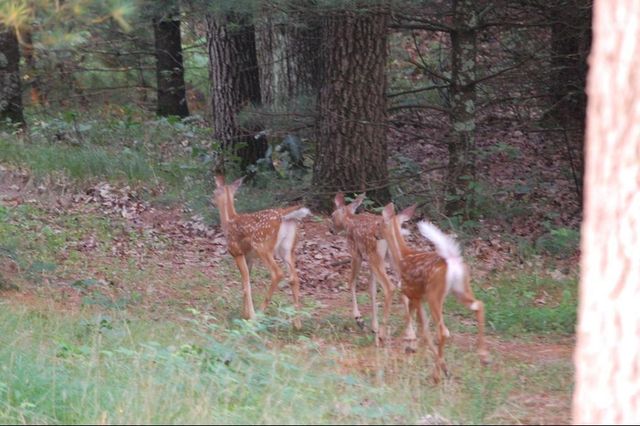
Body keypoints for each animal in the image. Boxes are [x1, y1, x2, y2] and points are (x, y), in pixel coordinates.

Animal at [213, 175, 310, 329]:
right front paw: (244, 314)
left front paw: (249, 316)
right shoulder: (249, 256)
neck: (229, 220)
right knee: (294, 278)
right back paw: (297, 324)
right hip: (288, 249)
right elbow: (245, 281)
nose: (211, 200)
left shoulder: (236, 252)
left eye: (214, 191)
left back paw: (258, 315)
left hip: (263, 246)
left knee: (277, 273)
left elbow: (246, 281)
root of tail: (284, 215)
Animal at [330, 192, 413, 347]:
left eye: (332, 215)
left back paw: (382, 336)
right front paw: (374, 326)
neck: (349, 221)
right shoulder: (369, 261)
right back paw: (410, 334)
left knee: (389, 287)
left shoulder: (356, 253)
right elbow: (372, 289)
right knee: (402, 287)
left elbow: (352, 282)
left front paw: (360, 320)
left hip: (376, 257)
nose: (330, 229)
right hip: (392, 259)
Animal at [380, 202, 490, 383]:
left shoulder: (414, 295)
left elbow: (421, 329)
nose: (376, 234)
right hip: (461, 289)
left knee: (443, 331)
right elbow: (417, 326)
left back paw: (436, 376)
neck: (401, 258)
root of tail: (452, 260)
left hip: (434, 294)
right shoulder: (416, 298)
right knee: (479, 305)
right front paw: (411, 348)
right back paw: (484, 357)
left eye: (379, 222)